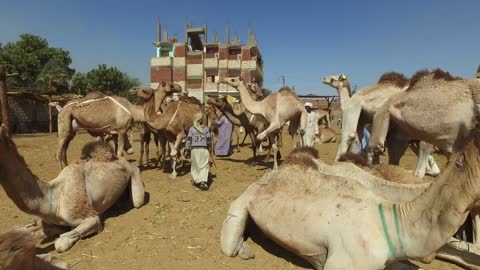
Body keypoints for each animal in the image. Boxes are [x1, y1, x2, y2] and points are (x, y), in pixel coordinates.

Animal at [0, 125, 146, 252]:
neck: (54, 197)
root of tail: (124, 160)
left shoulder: (90, 217)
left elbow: (61, 242)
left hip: (134, 176)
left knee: (137, 200)